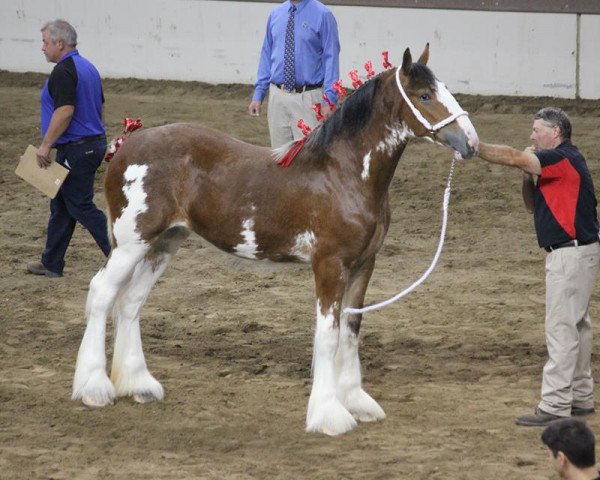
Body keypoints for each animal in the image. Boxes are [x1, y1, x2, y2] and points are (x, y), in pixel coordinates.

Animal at [72, 45, 478, 436]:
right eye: (425, 95)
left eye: (444, 89)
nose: (471, 142)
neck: (344, 174)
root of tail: (127, 145)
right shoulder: (330, 265)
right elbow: (328, 335)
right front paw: (329, 415)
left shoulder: (364, 264)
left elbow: (350, 331)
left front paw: (357, 402)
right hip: (131, 244)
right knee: (101, 293)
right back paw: (93, 388)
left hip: (163, 244)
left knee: (131, 302)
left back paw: (138, 385)